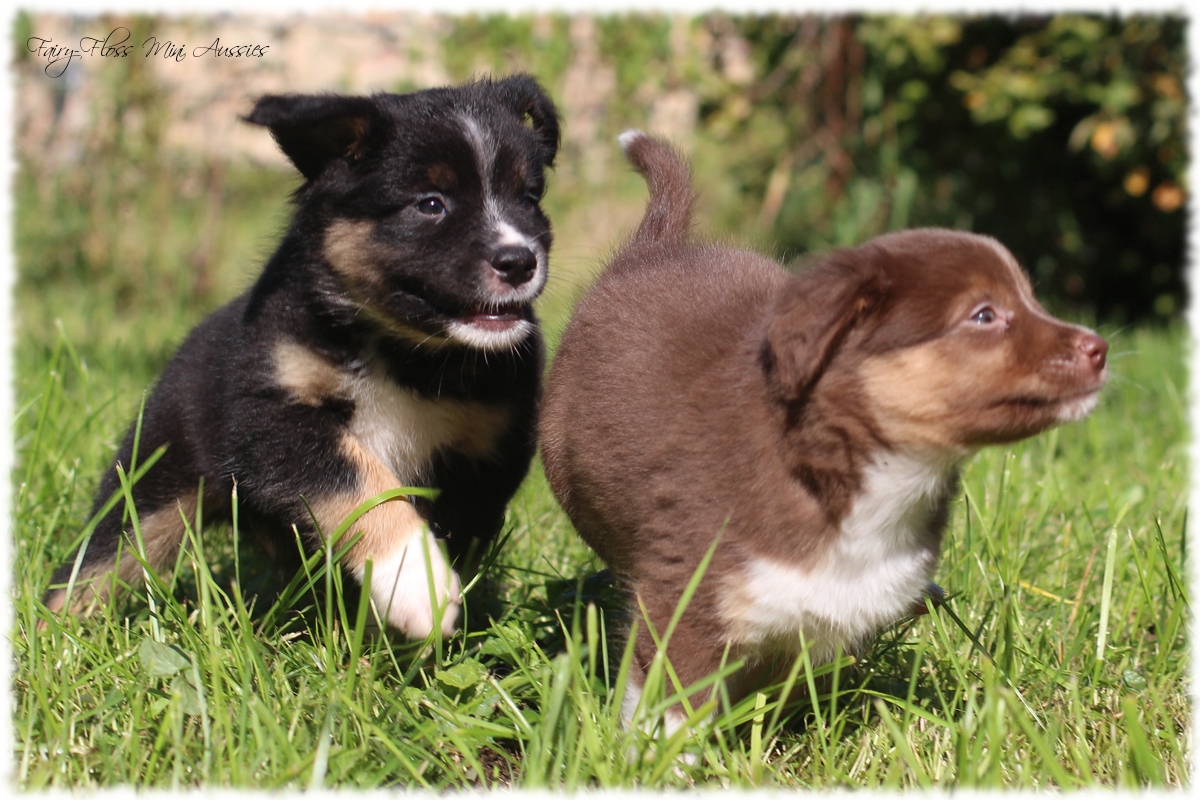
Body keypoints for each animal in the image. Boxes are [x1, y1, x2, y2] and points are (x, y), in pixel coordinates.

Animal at [42, 74, 556, 638]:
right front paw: (415, 582)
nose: (519, 260)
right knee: (98, 562)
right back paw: (52, 634)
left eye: (528, 198)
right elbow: (361, 481)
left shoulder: (487, 454)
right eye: (430, 204)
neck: (400, 351)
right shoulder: (272, 415)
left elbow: (451, 530)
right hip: (153, 477)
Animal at [540, 130, 1108, 734]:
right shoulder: (683, 596)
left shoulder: (826, 619)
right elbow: (672, 714)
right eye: (983, 315)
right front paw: (662, 754)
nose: (1100, 348)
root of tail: (655, 248)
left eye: (1031, 300)